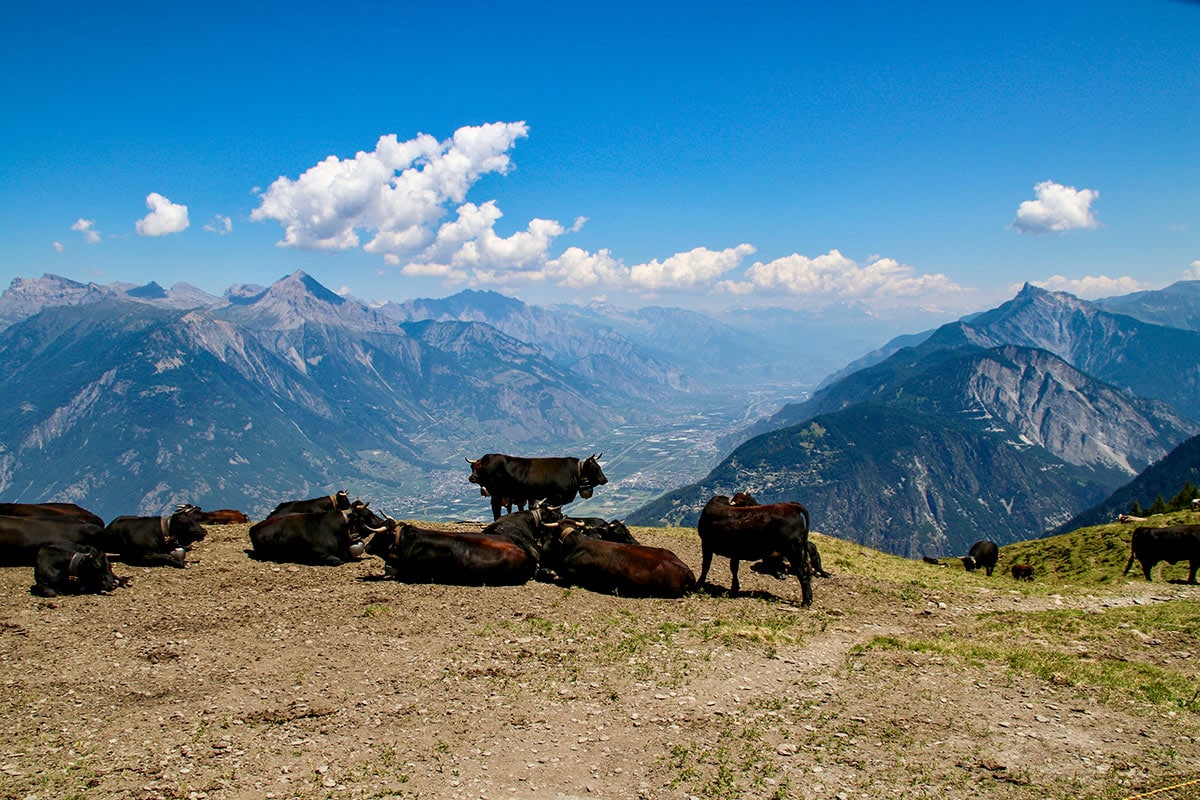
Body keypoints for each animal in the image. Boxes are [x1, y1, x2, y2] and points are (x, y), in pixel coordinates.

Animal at [466, 453, 609, 520]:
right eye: (594, 468)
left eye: (599, 466)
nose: (605, 479)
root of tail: (487, 458)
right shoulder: (558, 496)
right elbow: (558, 511)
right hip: (497, 494)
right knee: (496, 510)